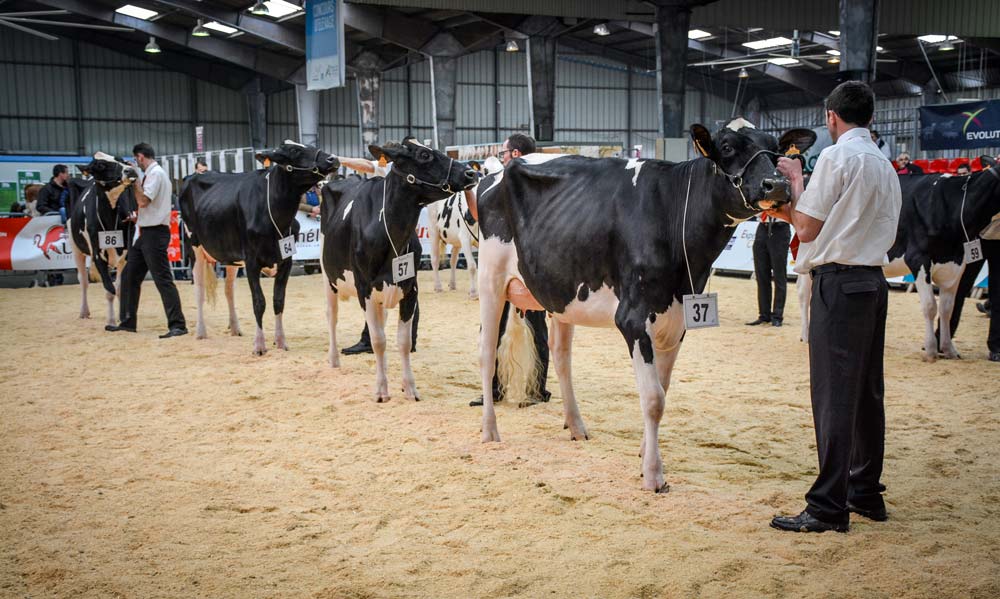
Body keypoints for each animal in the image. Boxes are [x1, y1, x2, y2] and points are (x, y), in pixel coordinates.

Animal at [67, 152, 140, 326]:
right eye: (100, 165)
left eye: (121, 160)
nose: (129, 170)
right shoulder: (98, 255)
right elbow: (109, 290)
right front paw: (111, 320)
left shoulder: (125, 255)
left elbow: (119, 289)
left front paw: (122, 317)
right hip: (76, 249)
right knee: (83, 281)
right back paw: (84, 311)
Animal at [184, 139, 344, 356]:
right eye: (295, 150)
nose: (332, 158)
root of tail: (195, 175)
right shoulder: (252, 261)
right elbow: (259, 302)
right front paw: (259, 345)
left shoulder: (285, 261)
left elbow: (278, 300)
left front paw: (281, 341)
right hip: (195, 247)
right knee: (199, 289)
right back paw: (201, 332)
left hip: (231, 256)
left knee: (229, 289)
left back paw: (235, 328)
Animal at [320, 139, 476, 404]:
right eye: (424, 155)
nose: (471, 173)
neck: (388, 233)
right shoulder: (365, 289)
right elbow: (378, 340)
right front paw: (381, 390)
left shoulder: (410, 289)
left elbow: (402, 341)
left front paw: (409, 388)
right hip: (328, 277)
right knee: (332, 317)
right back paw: (333, 359)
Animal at [474, 118, 812, 492]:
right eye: (726, 147)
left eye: (776, 149)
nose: (777, 184)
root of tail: (497, 170)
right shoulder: (633, 319)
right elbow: (652, 399)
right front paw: (653, 473)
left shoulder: (678, 320)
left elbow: (662, 390)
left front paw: (643, 453)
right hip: (490, 279)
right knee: (487, 353)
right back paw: (490, 430)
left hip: (560, 292)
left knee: (561, 358)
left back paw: (576, 426)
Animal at [796, 156, 1000, 360]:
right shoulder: (918, 258)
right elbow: (930, 306)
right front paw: (931, 349)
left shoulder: (956, 263)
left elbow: (946, 309)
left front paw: (948, 348)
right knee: (804, 293)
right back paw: (806, 335)